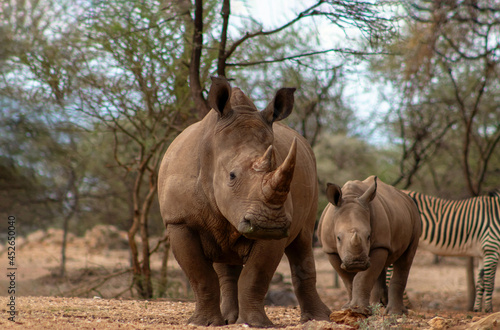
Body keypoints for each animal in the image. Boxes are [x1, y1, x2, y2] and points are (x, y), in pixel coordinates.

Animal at [158, 77, 332, 328]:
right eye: (231, 176)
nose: (268, 224)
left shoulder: (277, 229)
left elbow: (256, 275)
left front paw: (256, 323)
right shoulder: (179, 221)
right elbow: (200, 275)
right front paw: (204, 323)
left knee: (304, 240)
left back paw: (318, 318)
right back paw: (227, 319)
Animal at [318, 175, 420, 314]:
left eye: (368, 236)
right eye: (338, 238)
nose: (356, 263)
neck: (351, 196)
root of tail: (406, 197)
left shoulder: (379, 244)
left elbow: (364, 277)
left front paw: (359, 310)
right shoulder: (330, 250)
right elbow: (348, 280)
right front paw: (349, 308)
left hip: (415, 217)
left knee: (406, 257)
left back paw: (394, 312)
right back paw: (378, 306)